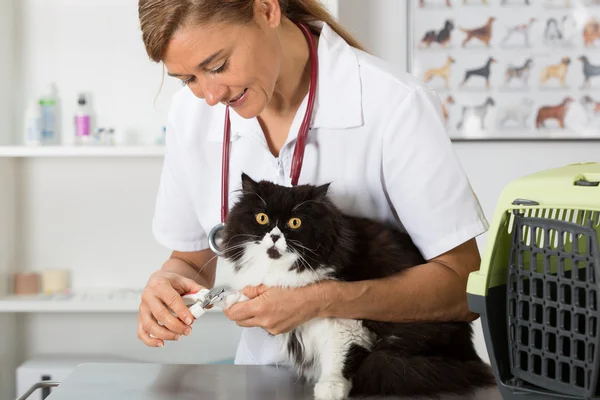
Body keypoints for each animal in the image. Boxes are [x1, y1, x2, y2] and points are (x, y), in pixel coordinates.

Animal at [218, 174, 494, 400]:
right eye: (262, 218)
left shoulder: (343, 322)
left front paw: (331, 388)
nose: (275, 236)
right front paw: (232, 299)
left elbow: (340, 355)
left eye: (295, 222)